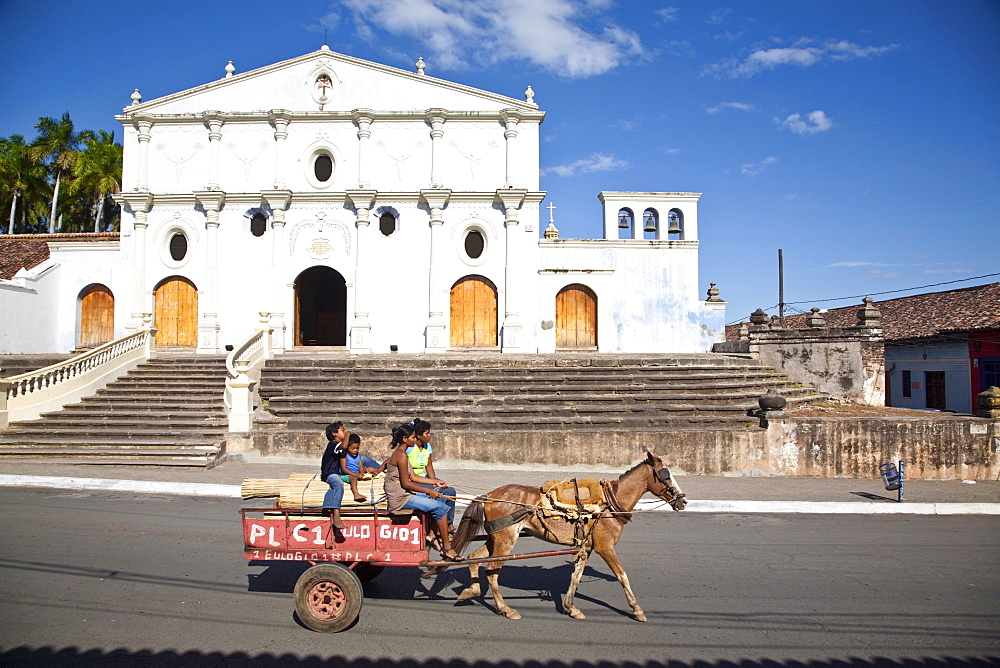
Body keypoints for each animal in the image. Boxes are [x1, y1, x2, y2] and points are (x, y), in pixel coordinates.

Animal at [450, 452, 684, 624]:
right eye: (665, 475)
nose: (682, 500)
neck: (609, 503)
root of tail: (488, 496)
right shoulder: (605, 547)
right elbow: (622, 576)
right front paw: (637, 610)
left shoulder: (586, 548)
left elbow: (576, 576)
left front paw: (571, 608)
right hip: (506, 539)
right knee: (491, 570)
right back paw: (506, 609)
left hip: (495, 538)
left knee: (475, 559)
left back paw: (471, 591)